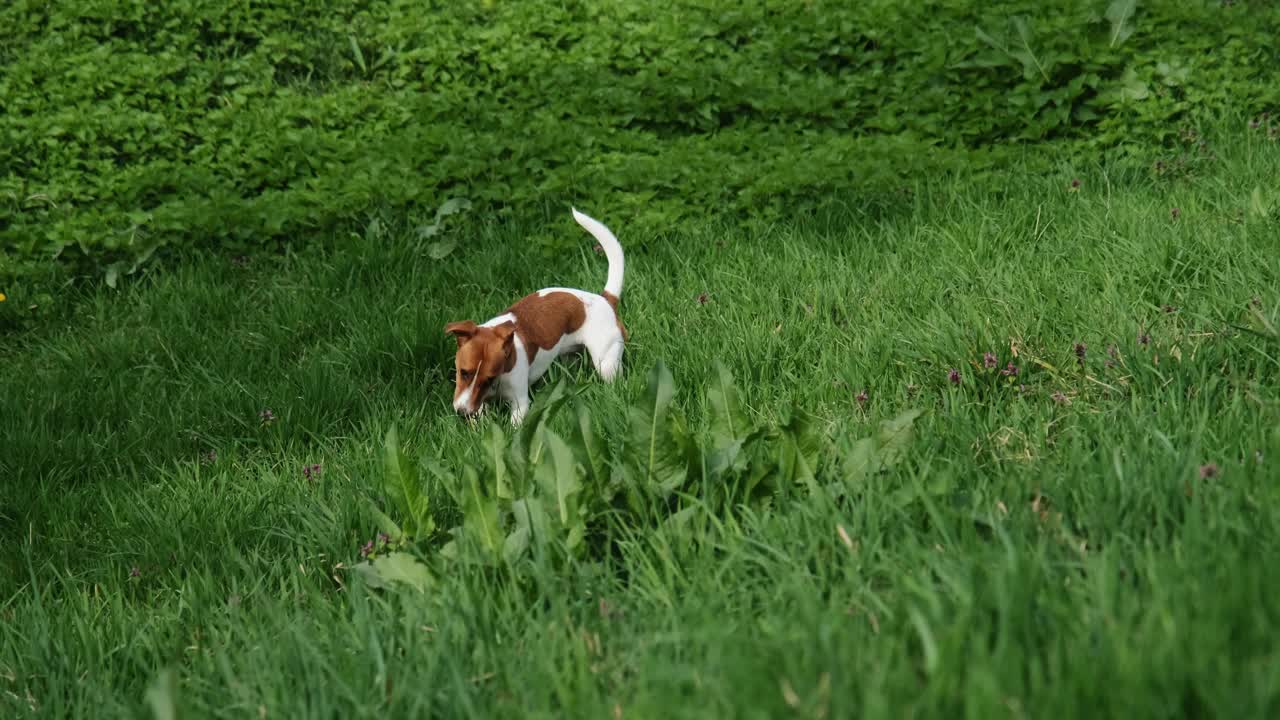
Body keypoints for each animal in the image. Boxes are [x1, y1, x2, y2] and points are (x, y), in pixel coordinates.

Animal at [445, 204, 629, 422]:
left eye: (489, 378)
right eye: (463, 372)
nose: (462, 412)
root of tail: (605, 299)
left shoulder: (519, 404)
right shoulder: (479, 403)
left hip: (606, 363)